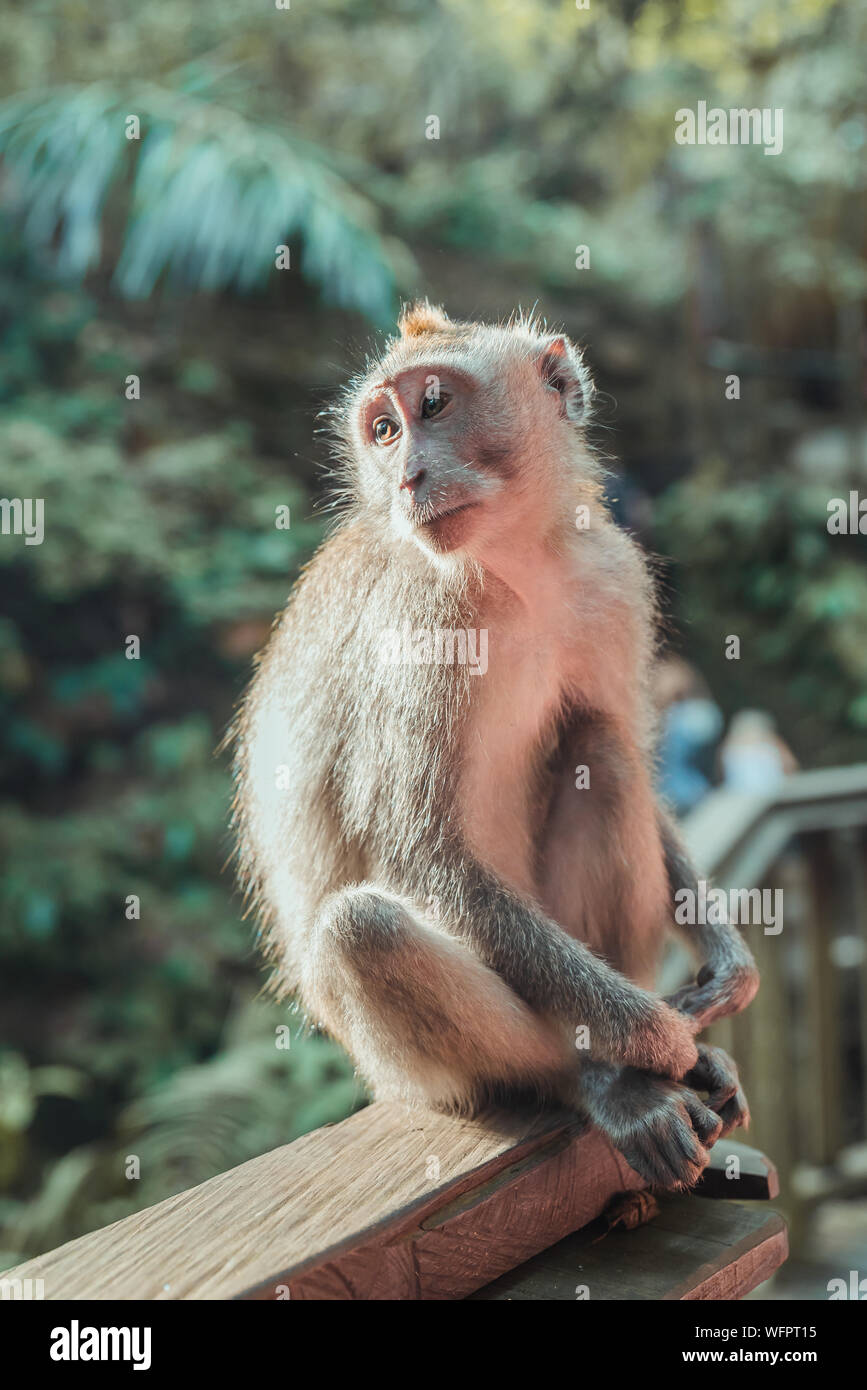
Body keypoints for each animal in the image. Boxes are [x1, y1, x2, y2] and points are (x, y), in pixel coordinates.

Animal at [232, 298, 755, 1189]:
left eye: (434, 405)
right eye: (382, 430)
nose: (405, 477)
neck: (517, 568)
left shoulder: (610, 579)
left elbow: (627, 748)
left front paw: (725, 960)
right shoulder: (422, 618)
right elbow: (417, 848)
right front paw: (658, 1036)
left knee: (599, 748)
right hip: (415, 1067)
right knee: (364, 931)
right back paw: (599, 1077)